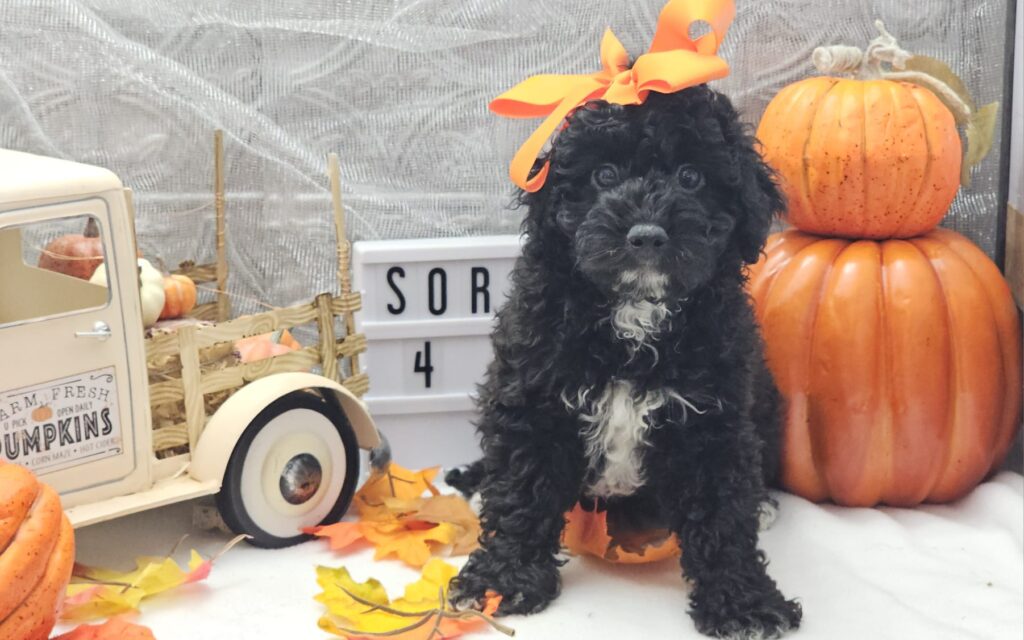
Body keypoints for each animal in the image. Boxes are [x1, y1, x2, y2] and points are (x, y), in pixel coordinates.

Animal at [448, 86, 798, 638]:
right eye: (604, 175)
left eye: (691, 177)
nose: (647, 234)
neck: (635, 312)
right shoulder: (533, 398)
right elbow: (522, 492)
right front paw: (503, 579)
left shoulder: (713, 418)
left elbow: (722, 513)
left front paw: (743, 602)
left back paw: (762, 502)